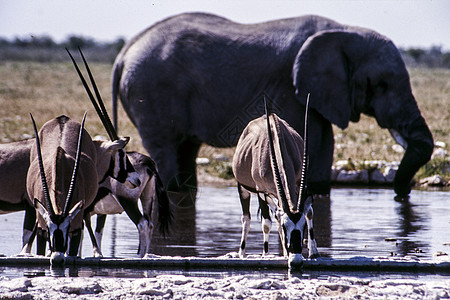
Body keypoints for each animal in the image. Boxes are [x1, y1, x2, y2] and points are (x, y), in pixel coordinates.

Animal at [110, 12, 434, 202]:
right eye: (381, 85)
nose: (403, 195)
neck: (344, 31)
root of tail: (124, 52)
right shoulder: (290, 88)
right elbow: (308, 140)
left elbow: (323, 144)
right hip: (152, 93)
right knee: (166, 149)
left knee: (186, 149)